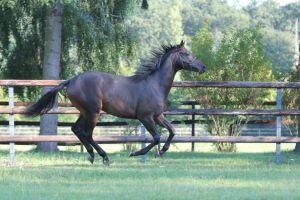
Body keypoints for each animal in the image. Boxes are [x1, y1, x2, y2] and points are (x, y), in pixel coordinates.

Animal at [25, 40, 205, 164]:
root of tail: (71, 81)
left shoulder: (158, 116)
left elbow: (172, 131)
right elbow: (156, 137)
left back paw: (92, 155)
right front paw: (136, 153)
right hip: (93, 112)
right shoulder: (145, 117)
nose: (203, 67)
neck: (155, 85)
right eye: (187, 54)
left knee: (76, 129)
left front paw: (161, 152)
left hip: (85, 112)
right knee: (87, 133)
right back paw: (103, 157)